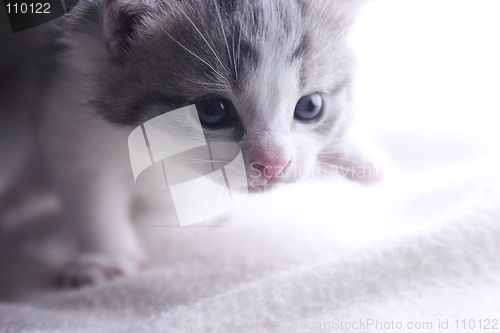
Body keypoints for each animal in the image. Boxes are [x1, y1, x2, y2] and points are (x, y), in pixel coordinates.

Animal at [2, 0, 382, 286]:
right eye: (212, 110)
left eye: (310, 106)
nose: (272, 164)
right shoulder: (69, 111)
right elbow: (90, 190)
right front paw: (105, 258)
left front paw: (362, 158)